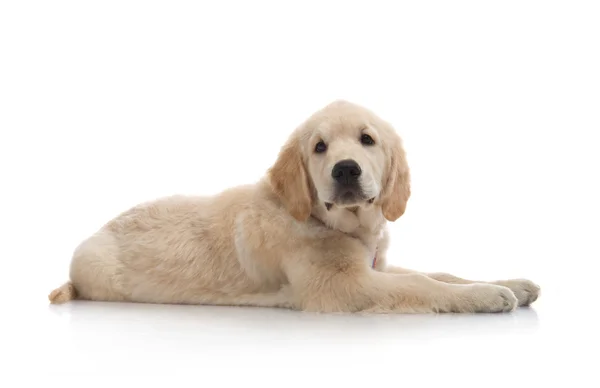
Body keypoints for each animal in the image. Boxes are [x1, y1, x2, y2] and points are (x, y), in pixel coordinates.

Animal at [50, 99, 540, 312]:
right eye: (319, 147)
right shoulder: (343, 286)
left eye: (367, 139)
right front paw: (485, 296)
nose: (346, 170)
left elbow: (441, 271)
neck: (334, 223)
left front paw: (511, 283)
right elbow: (422, 284)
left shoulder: (375, 265)